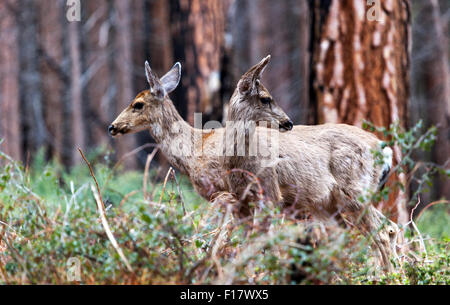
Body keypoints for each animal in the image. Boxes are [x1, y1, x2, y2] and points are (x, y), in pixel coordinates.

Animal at [223, 53, 400, 270]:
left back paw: (389, 274)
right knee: (382, 229)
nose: (288, 122)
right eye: (265, 98)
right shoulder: (242, 198)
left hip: (355, 190)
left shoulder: (271, 193)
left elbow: (264, 241)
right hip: (330, 203)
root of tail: (385, 149)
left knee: (381, 232)